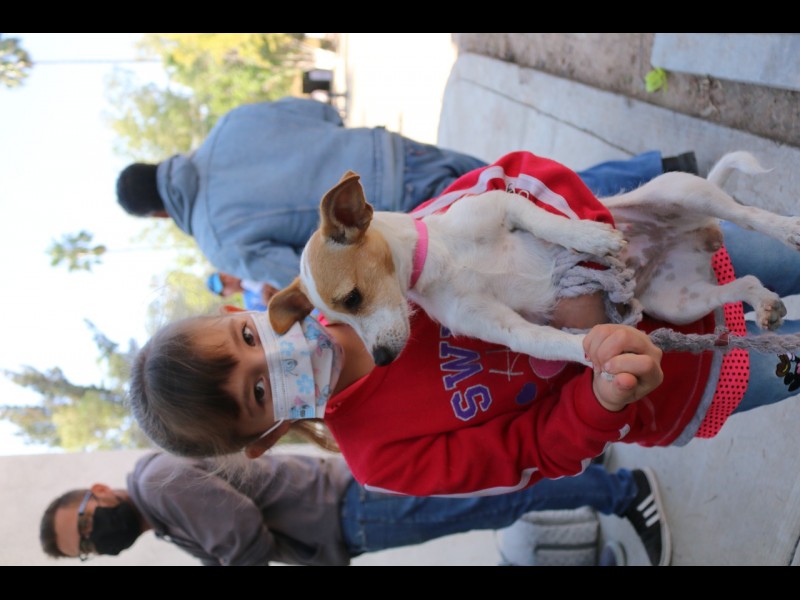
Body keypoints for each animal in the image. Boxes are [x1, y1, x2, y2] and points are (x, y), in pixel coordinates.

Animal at [268, 151, 798, 367]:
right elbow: (555, 343)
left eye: (352, 297)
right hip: (678, 301)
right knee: (741, 283)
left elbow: (548, 223)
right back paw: (765, 304)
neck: (441, 264)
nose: (379, 360)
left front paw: (590, 237)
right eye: (340, 322)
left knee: (748, 214)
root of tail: (690, 235)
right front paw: (598, 356)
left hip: (685, 192)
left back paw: (788, 228)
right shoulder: (504, 328)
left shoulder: (504, 204)